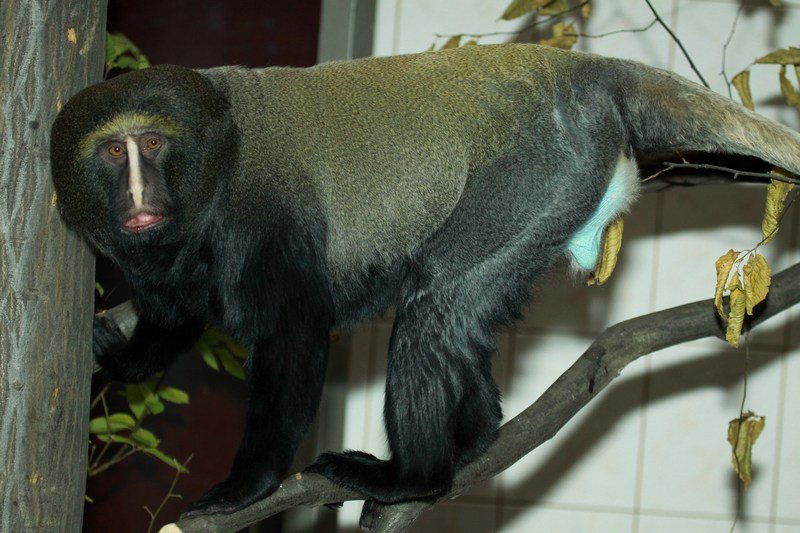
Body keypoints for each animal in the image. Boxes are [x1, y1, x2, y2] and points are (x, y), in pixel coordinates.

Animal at [50, 43, 800, 517]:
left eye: (152, 145)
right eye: (113, 152)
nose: (140, 196)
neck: (217, 155)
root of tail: (585, 69)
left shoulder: (261, 218)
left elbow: (296, 333)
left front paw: (245, 486)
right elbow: (174, 313)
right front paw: (119, 354)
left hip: (533, 181)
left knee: (435, 304)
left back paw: (415, 477)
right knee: (459, 316)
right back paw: (475, 437)